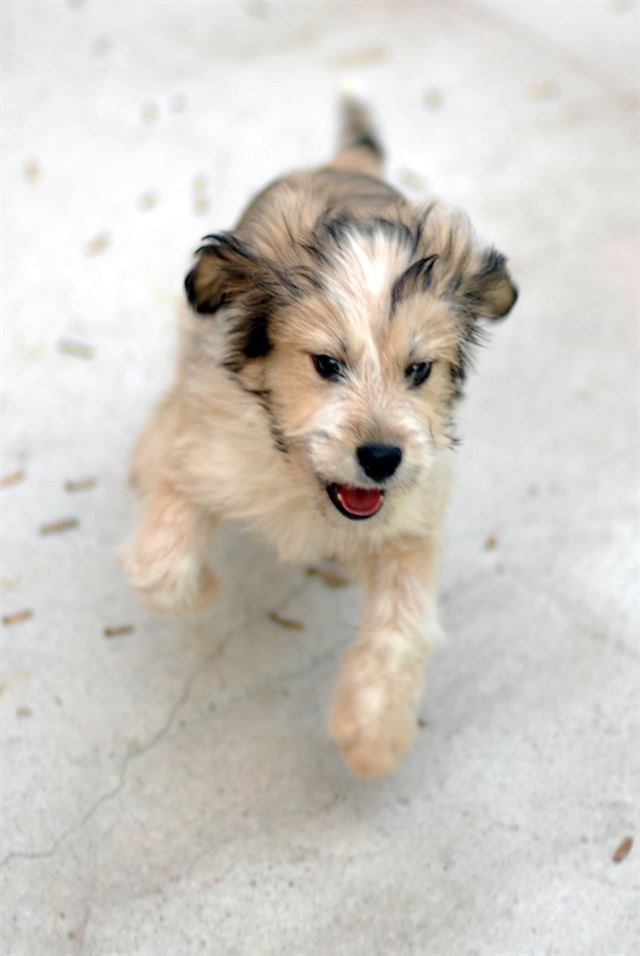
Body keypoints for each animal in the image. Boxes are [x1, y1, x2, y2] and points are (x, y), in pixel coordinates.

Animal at [124, 101, 516, 780]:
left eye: (419, 370)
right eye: (326, 364)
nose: (382, 458)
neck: (302, 479)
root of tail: (345, 162)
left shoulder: (411, 526)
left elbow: (400, 625)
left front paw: (372, 735)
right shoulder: (199, 452)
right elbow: (160, 568)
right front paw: (206, 588)